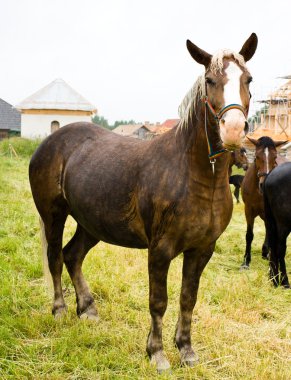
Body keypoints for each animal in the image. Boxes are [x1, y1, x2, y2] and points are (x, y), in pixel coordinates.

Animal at [29, 33, 258, 372]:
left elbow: (188, 298)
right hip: (54, 215)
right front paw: (157, 353)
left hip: (91, 223)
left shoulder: (202, 249)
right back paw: (59, 310)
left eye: (248, 78)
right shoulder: (160, 250)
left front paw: (186, 350)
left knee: (73, 255)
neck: (194, 175)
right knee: (56, 257)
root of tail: (51, 141)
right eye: (210, 80)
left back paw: (88, 309)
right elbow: (159, 301)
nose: (232, 129)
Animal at [241, 135, 286, 268]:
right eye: (256, 156)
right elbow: (249, 235)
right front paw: (246, 261)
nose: (264, 183)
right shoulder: (248, 210)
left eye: (274, 157)